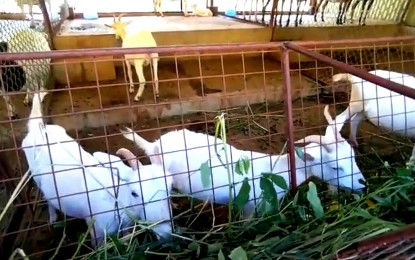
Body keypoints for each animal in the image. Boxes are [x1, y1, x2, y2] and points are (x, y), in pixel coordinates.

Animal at [20, 93, 174, 246]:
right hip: (36, 178)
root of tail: (37, 128)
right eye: (134, 193)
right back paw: (52, 217)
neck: (118, 199)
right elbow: (97, 244)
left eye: (170, 188)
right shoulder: (96, 228)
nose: (166, 233)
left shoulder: (125, 226)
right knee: (47, 198)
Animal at [119, 104, 364, 218]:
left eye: (352, 157)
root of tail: (153, 145)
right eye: (335, 166)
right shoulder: (249, 206)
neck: (277, 171)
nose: (363, 184)